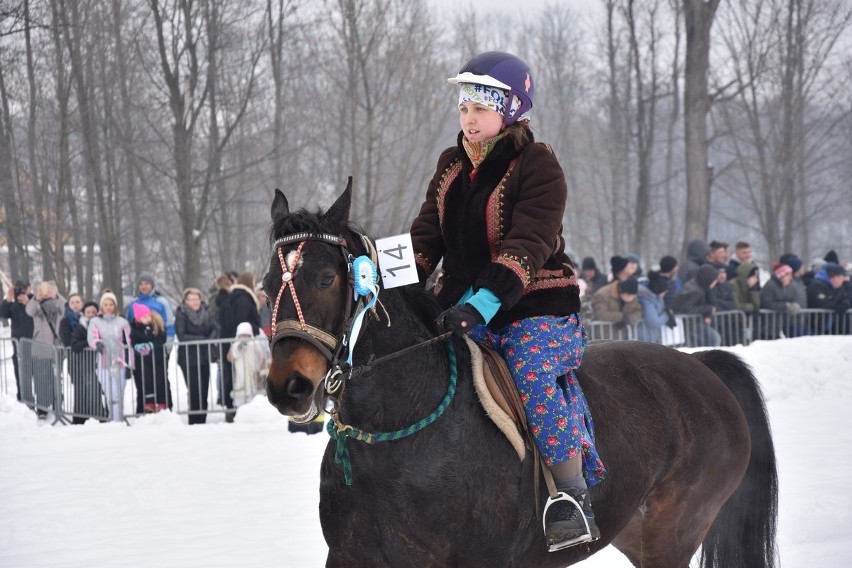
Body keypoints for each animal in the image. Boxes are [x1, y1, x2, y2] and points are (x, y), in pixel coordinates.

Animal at [262, 183, 776, 568]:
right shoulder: (352, 557)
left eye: (326, 279)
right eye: (267, 286)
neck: (399, 433)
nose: (289, 386)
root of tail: (701, 365)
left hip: (673, 531)